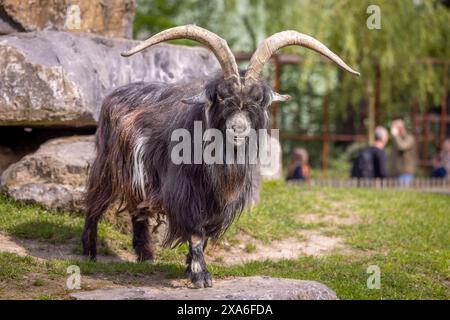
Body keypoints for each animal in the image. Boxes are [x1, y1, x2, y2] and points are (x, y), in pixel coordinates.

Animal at [82, 25, 358, 288]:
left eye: (258, 100)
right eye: (223, 97)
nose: (238, 129)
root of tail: (113, 95)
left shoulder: (219, 203)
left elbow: (204, 235)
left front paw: (189, 267)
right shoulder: (186, 192)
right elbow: (196, 233)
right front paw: (200, 276)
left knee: (137, 209)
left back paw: (146, 256)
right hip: (107, 166)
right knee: (94, 202)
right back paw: (89, 252)